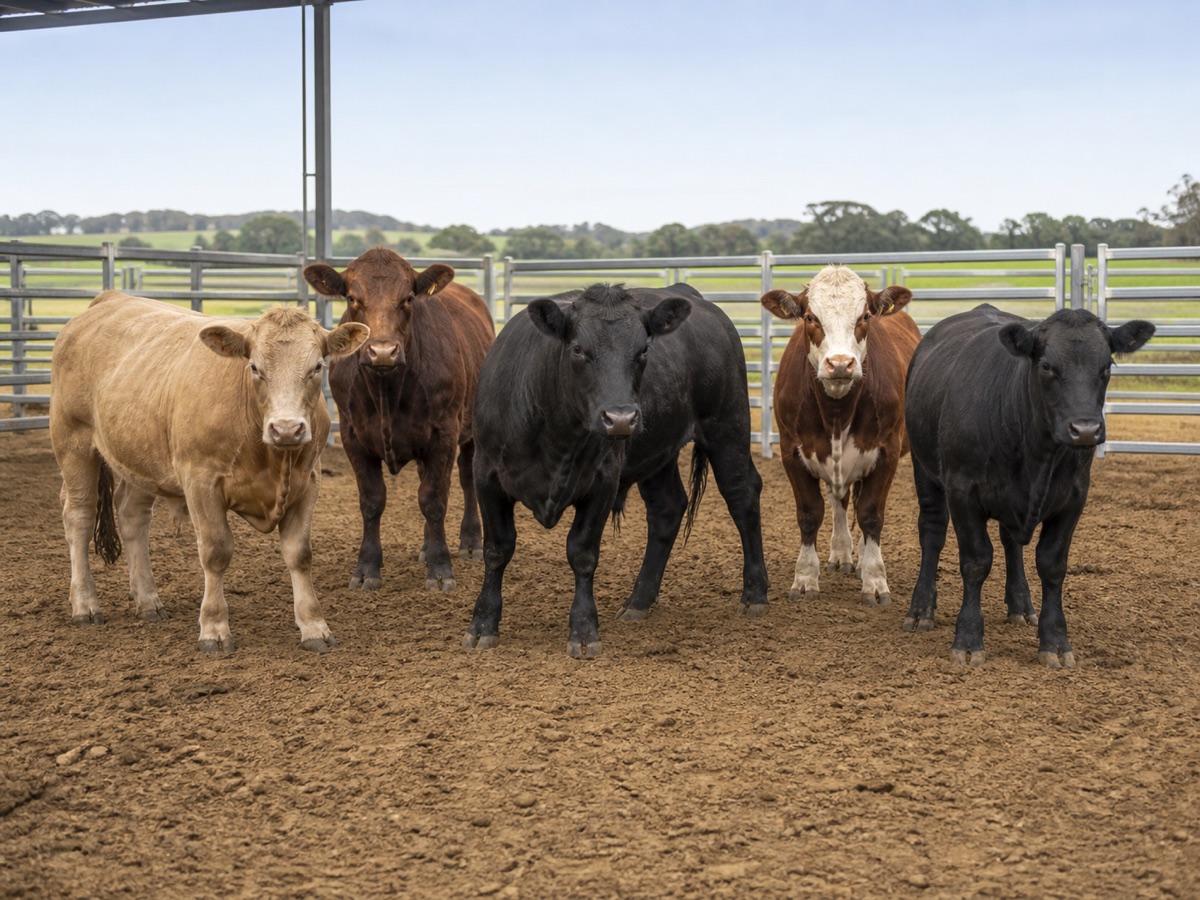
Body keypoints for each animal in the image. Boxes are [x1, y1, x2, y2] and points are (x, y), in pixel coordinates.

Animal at [50, 291, 369, 653]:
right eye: (254, 367)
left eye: (317, 367)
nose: (286, 429)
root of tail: (109, 299)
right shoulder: (200, 481)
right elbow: (216, 551)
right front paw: (214, 628)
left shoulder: (308, 482)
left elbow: (299, 554)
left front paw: (314, 626)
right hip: (72, 442)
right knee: (79, 516)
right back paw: (85, 604)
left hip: (140, 457)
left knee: (132, 517)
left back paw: (147, 601)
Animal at [303, 249, 495, 593]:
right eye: (351, 298)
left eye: (408, 298)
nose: (382, 351)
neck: (387, 391)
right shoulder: (352, 435)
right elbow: (372, 500)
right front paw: (366, 569)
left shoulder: (444, 433)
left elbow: (434, 499)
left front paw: (441, 569)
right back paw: (425, 547)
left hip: (471, 428)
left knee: (466, 479)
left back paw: (470, 543)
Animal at [464, 282, 769, 658]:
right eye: (578, 349)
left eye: (643, 350)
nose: (621, 418)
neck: (555, 433)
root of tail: (686, 292)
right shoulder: (486, 475)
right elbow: (497, 549)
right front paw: (483, 624)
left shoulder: (603, 482)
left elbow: (582, 552)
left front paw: (583, 629)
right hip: (660, 453)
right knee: (667, 509)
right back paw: (639, 600)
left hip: (727, 426)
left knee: (742, 496)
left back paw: (755, 593)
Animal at [760, 266, 921, 607]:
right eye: (810, 317)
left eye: (865, 316)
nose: (840, 364)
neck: (836, 412)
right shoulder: (791, 452)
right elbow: (810, 513)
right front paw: (805, 578)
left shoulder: (886, 452)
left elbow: (871, 514)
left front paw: (875, 580)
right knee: (840, 501)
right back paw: (841, 554)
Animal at [902, 304, 1155, 667]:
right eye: (1047, 365)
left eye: (1106, 366)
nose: (1086, 429)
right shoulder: (962, 491)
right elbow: (976, 562)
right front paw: (968, 639)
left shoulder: (1074, 497)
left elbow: (1051, 565)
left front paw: (1056, 642)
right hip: (924, 469)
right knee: (932, 533)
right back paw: (921, 608)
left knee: (1011, 542)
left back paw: (1020, 604)